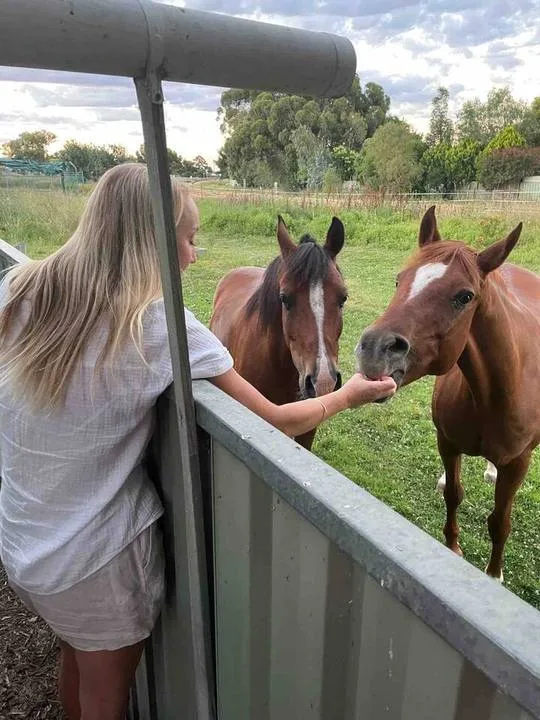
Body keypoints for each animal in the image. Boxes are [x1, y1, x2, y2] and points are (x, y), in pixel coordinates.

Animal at [357, 206, 539, 581]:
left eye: (464, 296)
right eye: (399, 280)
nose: (374, 350)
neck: (493, 393)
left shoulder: (519, 463)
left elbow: (500, 522)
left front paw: (494, 575)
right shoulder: (447, 442)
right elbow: (454, 495)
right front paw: (453, 547)